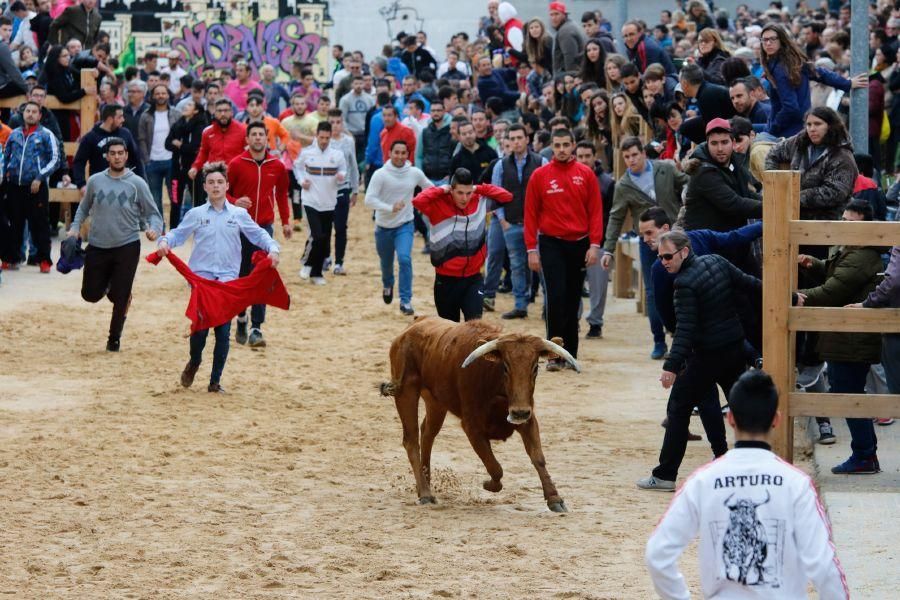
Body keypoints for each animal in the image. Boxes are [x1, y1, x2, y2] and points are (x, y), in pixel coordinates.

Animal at [378, 316, 576, 512]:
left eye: (535, 368)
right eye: (505, 367)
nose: (519, 412)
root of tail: (414, 324)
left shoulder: (527, 419)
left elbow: (538, 457)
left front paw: (554, 498)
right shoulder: (472, 427)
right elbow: (495, 467)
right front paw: (489, 485)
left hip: (436, 401)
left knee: (427, 434)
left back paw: (426, 482)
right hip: (406, 392)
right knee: (411, 440)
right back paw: (425, 493)